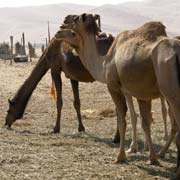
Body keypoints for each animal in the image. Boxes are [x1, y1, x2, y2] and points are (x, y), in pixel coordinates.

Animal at [56, 13, 180, 179]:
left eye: (74, 21)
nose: (60, 27)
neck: (103, 62)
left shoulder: (114, 87)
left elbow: (123, 121)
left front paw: (120, 156)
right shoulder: (141, 93)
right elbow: (145, 122)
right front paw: (152, 158)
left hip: (171, 92)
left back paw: (176, 170)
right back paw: (165, 157)